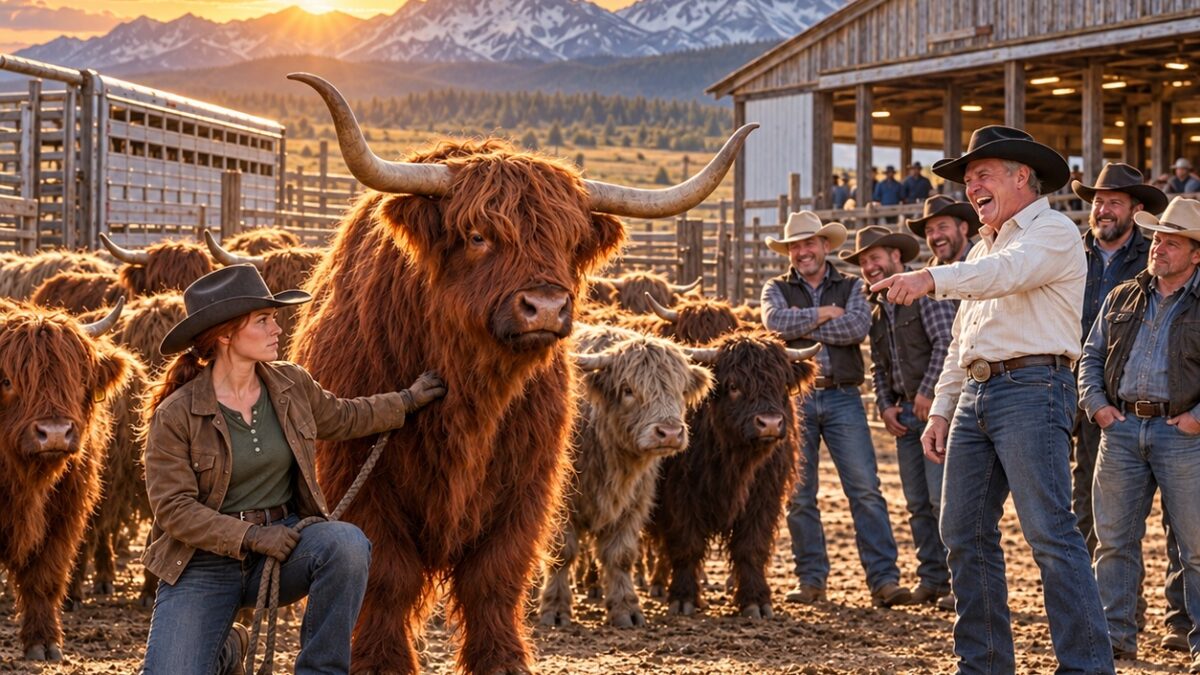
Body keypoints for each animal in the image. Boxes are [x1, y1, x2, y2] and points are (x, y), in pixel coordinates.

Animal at [0, 299, 134, 661]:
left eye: (78, 379)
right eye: (6, 381)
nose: (55, 433)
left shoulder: (64, 517)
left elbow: (45, 577)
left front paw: (44, 643)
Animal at [538, 324, 712, 629]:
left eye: (680, 390)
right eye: (629, 390)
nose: (669, 433)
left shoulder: (634, 502)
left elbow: (621, 556)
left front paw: (626, 609)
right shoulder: (561, 505)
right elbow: (562, 552)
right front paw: (556, 609)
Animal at [646, 331, 819, 620]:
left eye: (782, 383)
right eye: (734, 386)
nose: (770, 423)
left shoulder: (763, 498)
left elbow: (751, 547)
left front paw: (756, 601)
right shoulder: (681, 495)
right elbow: (687, 544)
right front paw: (684, 598)